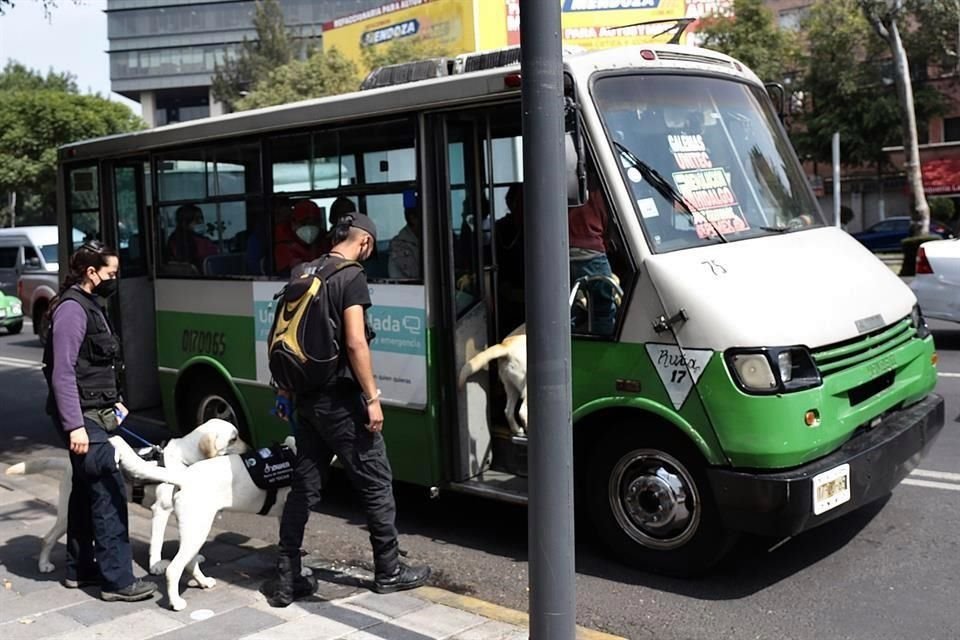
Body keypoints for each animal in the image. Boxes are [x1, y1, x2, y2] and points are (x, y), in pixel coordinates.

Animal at [5, 420, 244, 576]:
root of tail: (68, 464)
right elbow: (157, 542)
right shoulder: (161, 510)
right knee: (48, 538)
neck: (183, 459)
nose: (250, 446)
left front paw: (195, 556)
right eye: (234, 438)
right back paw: (44, 565)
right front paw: (156, 565)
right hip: (67, 514)